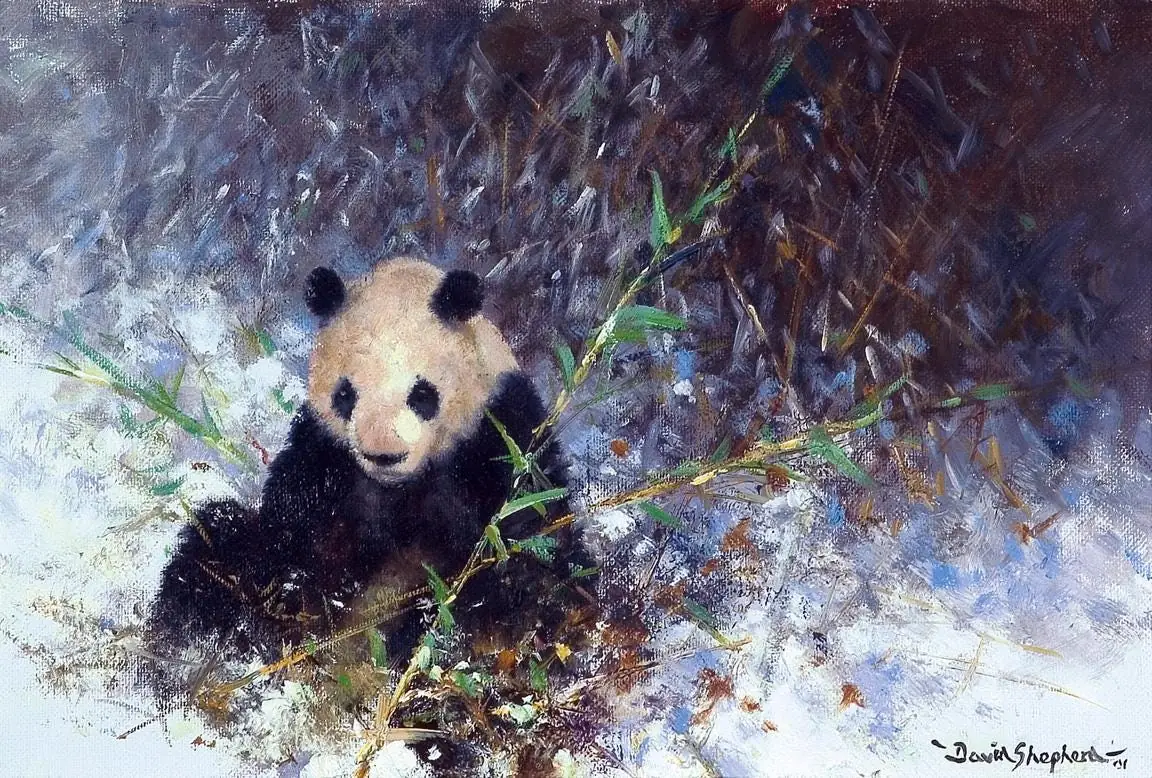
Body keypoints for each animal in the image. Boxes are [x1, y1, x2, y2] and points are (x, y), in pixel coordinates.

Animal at [145, 258, 593, 689]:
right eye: (346, 393)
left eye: (422, 393)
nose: (384, 454)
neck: (401, 488)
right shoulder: (323, 454)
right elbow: (289, 535)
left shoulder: (499, 433)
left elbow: (525, 537)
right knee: (218, 546)